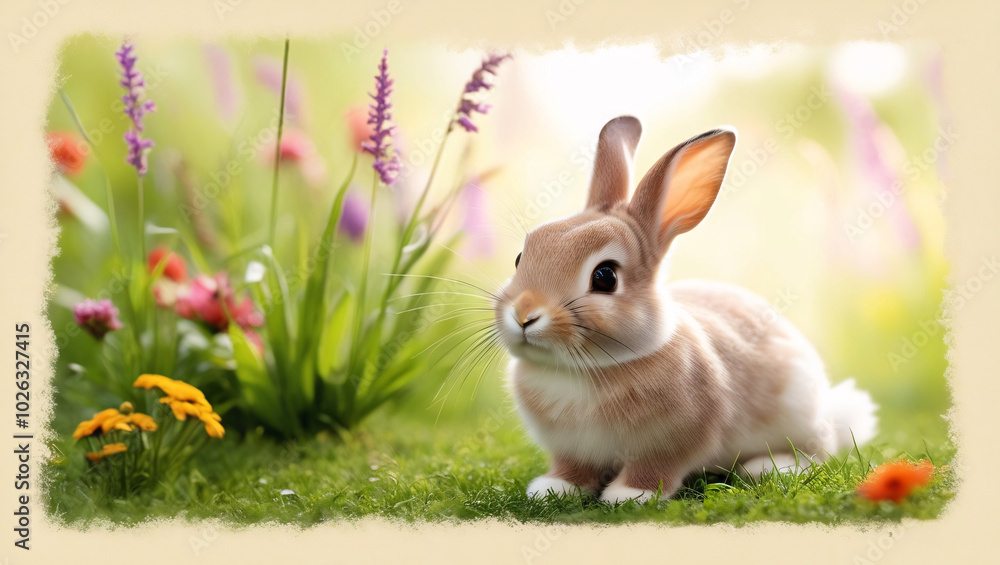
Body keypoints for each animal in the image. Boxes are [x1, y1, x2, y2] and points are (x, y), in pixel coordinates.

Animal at [493, 116, 878, 504]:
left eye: (605, 277)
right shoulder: (572, 449)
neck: (584, 370)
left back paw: (770, 467)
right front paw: (553, 488)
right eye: (520, 258)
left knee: (816, 452)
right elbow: (572, 468)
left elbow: (655, 470)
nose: (524, 315)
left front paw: (628, 495)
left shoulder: (671, 444)